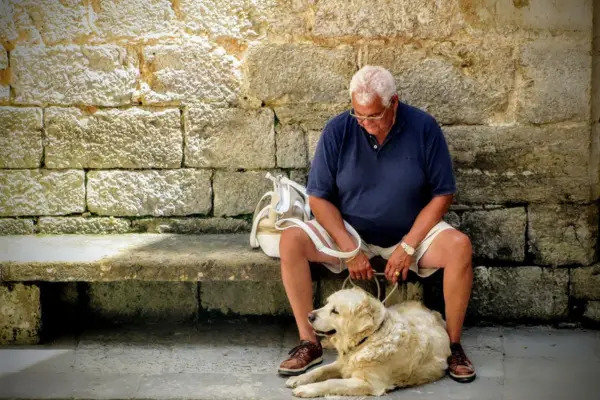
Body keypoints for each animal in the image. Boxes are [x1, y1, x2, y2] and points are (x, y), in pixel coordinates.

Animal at [286, 288, 450, 396]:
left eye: (335, 311)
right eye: (326, 304)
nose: (309, 316)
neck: (368, 339)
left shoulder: (368, 383)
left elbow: (331, 382)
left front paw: (306, 389)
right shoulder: (342, 363)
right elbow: (320, 370)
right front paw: (298, 379)